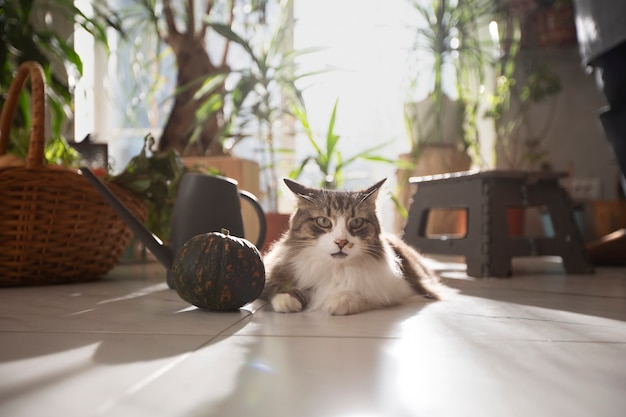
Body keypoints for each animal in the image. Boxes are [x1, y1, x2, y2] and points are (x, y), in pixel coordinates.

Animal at [260, 176, 442, 316]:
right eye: (323, 221)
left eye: (356, 222)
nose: (341, 242)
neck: (335, 268)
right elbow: (276, 290)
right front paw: (287, 299)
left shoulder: (402, 290)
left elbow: (367, 296)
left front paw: (341, 300)